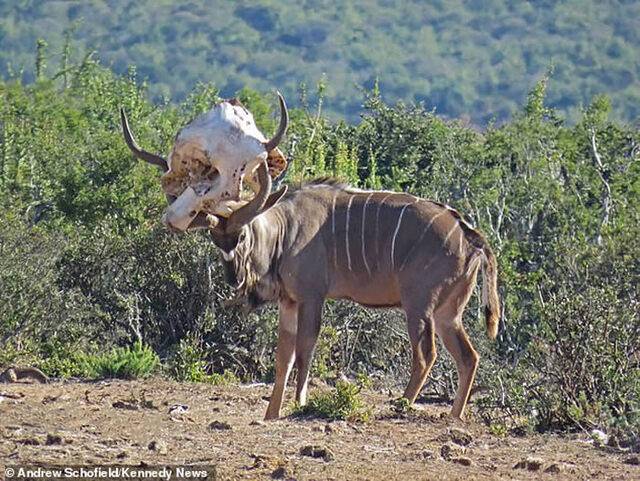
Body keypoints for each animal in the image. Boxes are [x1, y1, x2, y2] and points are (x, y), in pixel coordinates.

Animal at [120, 98, 500, 420]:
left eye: (241, 236)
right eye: (215, 239)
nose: (233, 276)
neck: (285, 229)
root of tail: (470, 235)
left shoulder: (312, 297)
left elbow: (305, 351)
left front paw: (299, 404)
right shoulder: (288, 303)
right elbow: (282, 357)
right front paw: (271, 412)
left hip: (418, 304)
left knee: (426, 354)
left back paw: (400, 406)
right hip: (448, 312)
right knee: (469, 356)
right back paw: (453, 416)